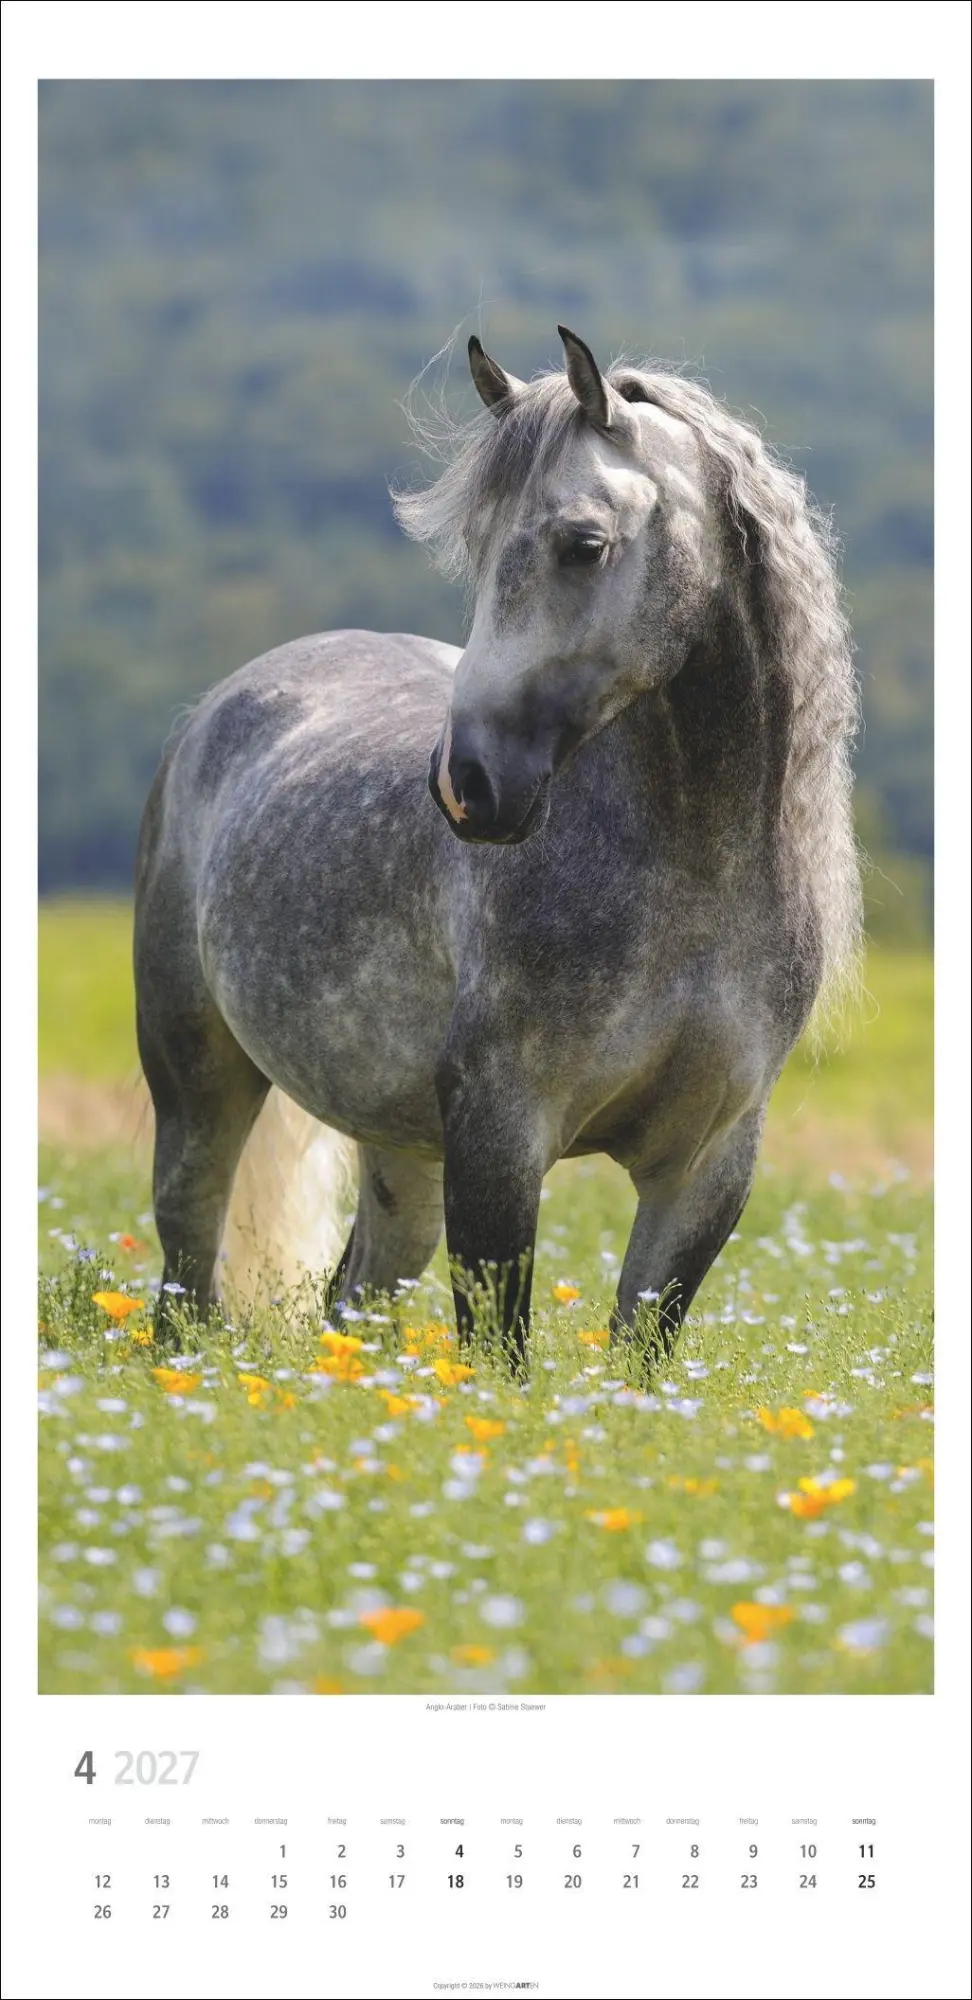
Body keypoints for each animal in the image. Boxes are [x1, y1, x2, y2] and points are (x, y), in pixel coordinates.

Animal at [134, 325, 860, 1365]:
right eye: (477, 549)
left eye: (583, 545)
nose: (467, 786)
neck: (694, 881)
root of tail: (222, 707)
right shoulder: (500, 1133)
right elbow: (497, 1352)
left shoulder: (708, 1163)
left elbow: (641, 1351)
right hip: (198, 1082)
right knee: (186, 1265)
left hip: (398, 1147)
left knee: (354, 1298)